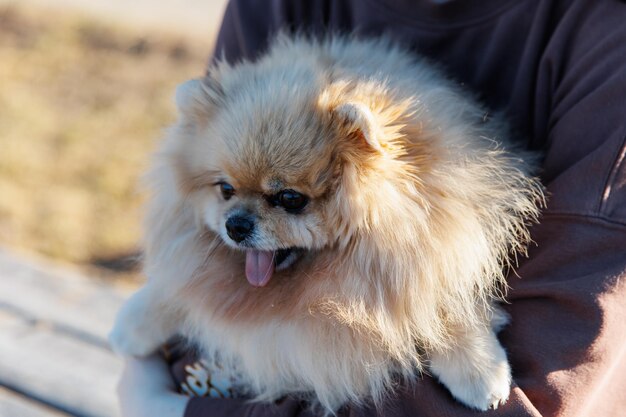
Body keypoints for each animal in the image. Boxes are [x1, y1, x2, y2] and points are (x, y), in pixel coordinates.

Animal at [109, 34, 544, 412]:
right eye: (225, 189)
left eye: (290, 199)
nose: (236, 225)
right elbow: (180, 287)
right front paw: (137, 321)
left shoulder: (440, 239)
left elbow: (438, 300)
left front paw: (477, 368)